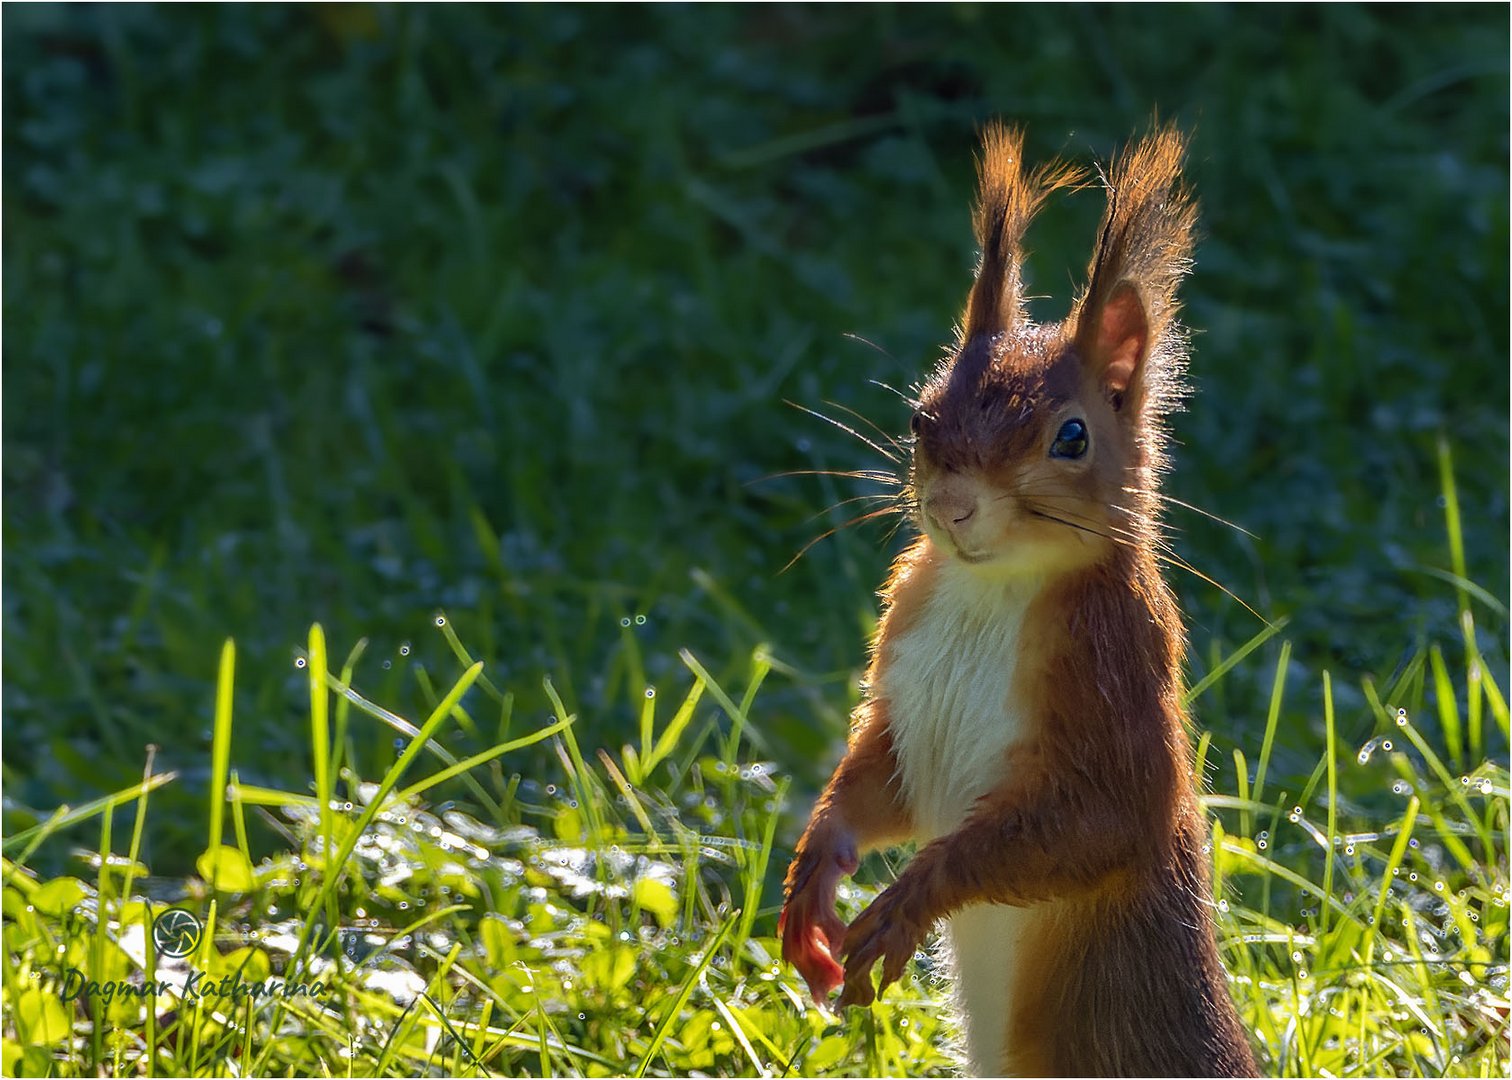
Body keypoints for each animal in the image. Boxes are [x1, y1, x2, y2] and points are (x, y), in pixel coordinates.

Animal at [774, 124, 1257, 1070]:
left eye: (1072, 437)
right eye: (921, 416)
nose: (954, 505)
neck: (991, 587)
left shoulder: (1117, 682)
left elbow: (1098, 825)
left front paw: (909, 900)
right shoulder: (902, 676)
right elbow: (876, 782)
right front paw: (814, 872)